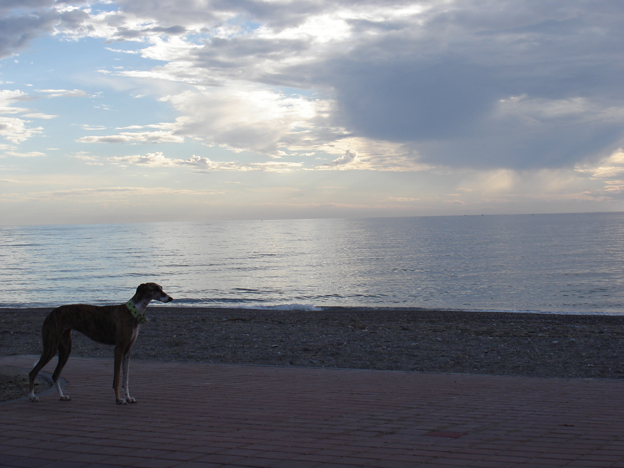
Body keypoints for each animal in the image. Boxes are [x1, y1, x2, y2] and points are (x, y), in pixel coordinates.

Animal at [28, 283, 173, 404]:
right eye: (155, 289)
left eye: (161, 287)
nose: (171, 298)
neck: (132, 312)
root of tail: (50, 314)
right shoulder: (119, 349)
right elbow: (117, 379)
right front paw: (119, 399)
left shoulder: (128, 351)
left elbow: (125, 379)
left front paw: (128, 397)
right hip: (51, 347)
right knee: (33, 372)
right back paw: (32, 397)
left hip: (66, 348)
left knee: (55, 374)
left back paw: (62, 396)